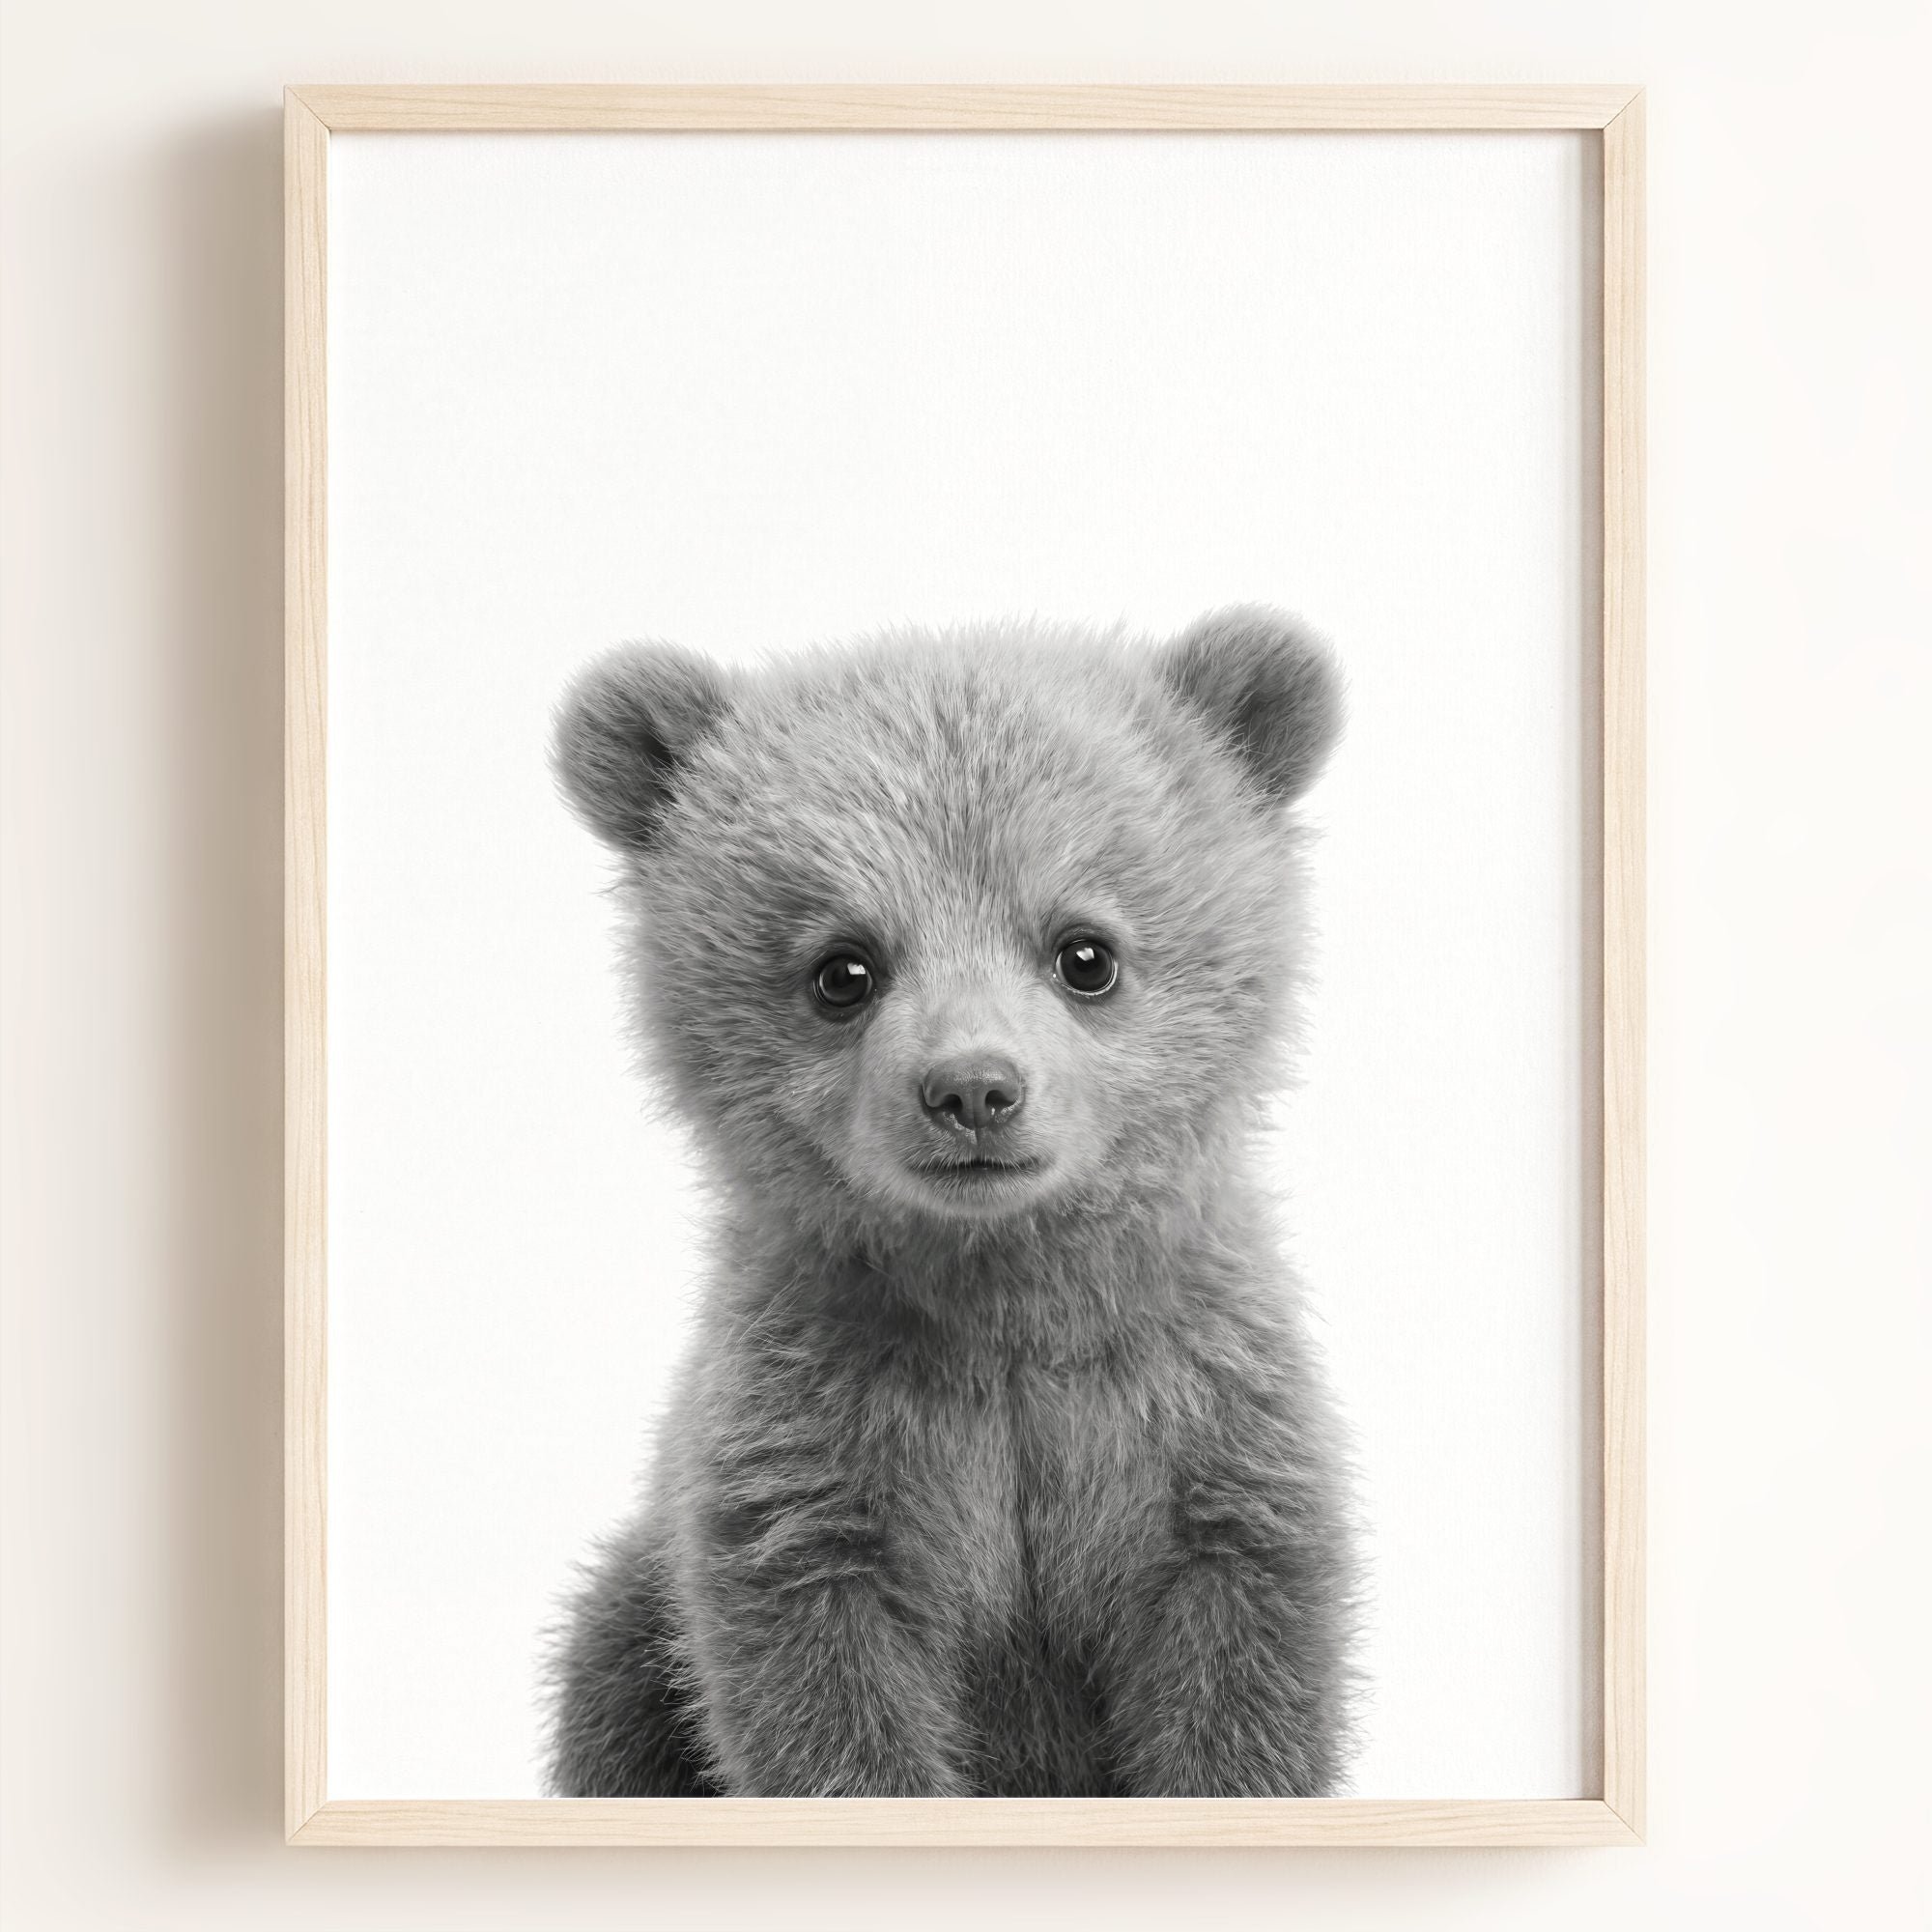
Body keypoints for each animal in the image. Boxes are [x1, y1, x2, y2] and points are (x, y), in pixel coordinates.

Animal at [544, 606, 1359, 1798]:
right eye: (842, 967)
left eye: (1084, 952)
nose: (973, 1088)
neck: (1001, 1300)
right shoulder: (816, 1449)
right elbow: (823, 1696)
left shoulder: (1196, 1425)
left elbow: (1238, 1675)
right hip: (633, 1628)